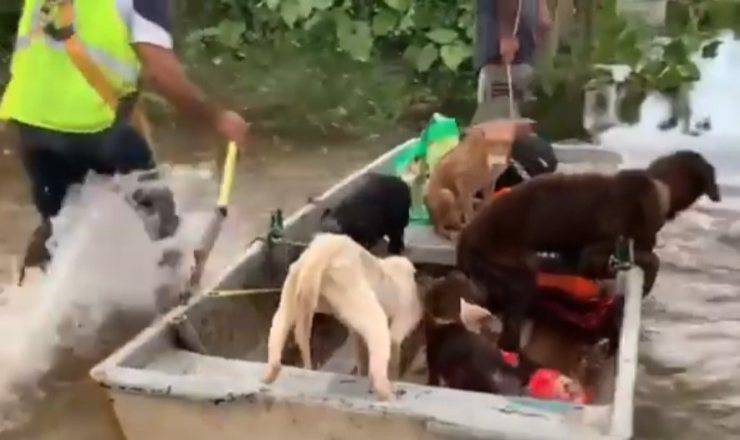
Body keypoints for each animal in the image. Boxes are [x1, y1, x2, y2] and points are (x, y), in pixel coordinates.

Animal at [264, 234, 420, 402]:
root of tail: (320, 255)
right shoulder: (406, 308)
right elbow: (395, 340)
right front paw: (392, 375)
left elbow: (361, 344)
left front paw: (363, 372)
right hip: (349, 286)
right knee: (376, 326)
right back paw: (386, 391)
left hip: (295, 279)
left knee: (281, 320)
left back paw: (270, 372)